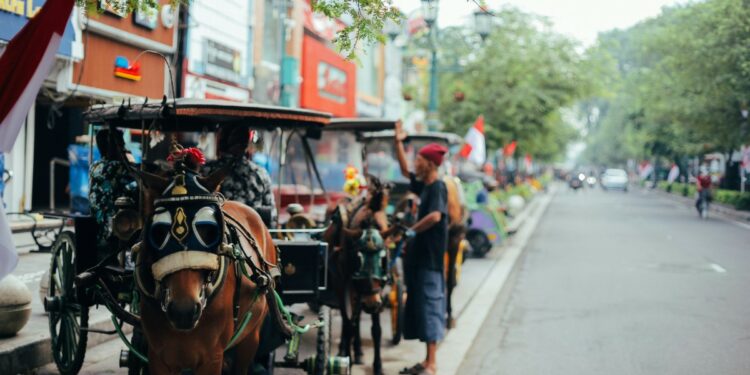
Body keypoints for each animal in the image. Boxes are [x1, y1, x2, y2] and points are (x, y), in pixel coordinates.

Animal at [134, 165, 284, 375]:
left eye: (209, 231)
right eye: (159, 232)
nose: (183, 311)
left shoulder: (212, 358)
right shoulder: (158, 357)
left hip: (251, 336)